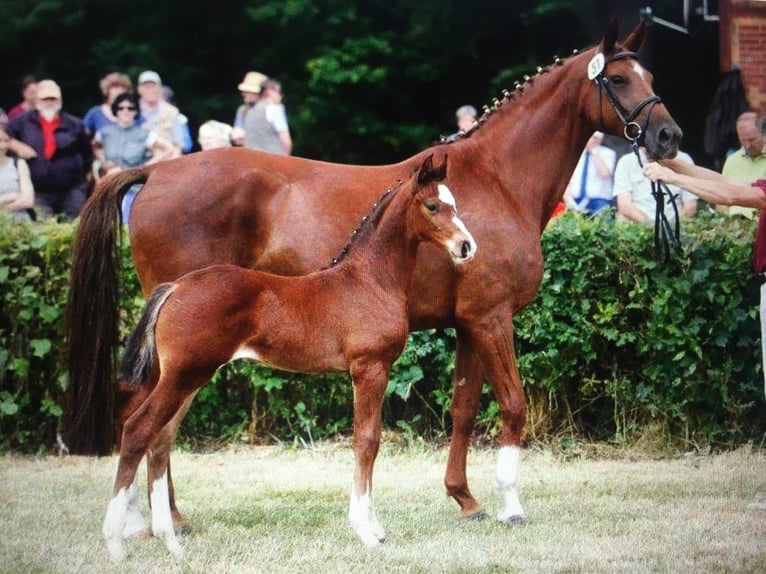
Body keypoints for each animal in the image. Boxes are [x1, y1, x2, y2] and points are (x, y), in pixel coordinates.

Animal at [100, 155, 474, 560]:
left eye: (455, 202)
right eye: (432, 206)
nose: (466, 246)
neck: (369, 280)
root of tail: (176, 287)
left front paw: (374, 527)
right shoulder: (369, 369)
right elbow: (367, 441)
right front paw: (366, 531)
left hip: (190, 378)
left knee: (160, 441)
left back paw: (170, 542)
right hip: (181, 376)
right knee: (138, 430)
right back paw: (116, 542)